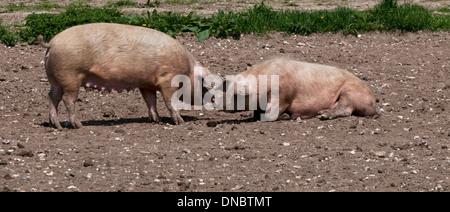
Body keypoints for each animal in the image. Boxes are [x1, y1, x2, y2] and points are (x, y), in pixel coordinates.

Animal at [37, 23, 211, 129]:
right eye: (205, 86)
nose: (213, 101)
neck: (187, 72)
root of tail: (52, 43)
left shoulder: (146, 83)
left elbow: (150, 101)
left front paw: (156, 120)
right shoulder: (168, 79)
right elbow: (170, 102)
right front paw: (180, 122)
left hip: (56, 80)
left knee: (52, 97)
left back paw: (56, 125)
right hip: (71, 76)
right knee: (68, 100)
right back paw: (78, 125)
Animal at [220, 57, 378, 121]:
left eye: (236, 95)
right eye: (227, 89)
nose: (216, 100)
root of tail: (373, 102)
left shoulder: (283, 95)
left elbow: (271, 113)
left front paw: (287, 116)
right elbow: (256, 114)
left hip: (351, 92)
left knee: (346, 109)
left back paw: (322, 115)